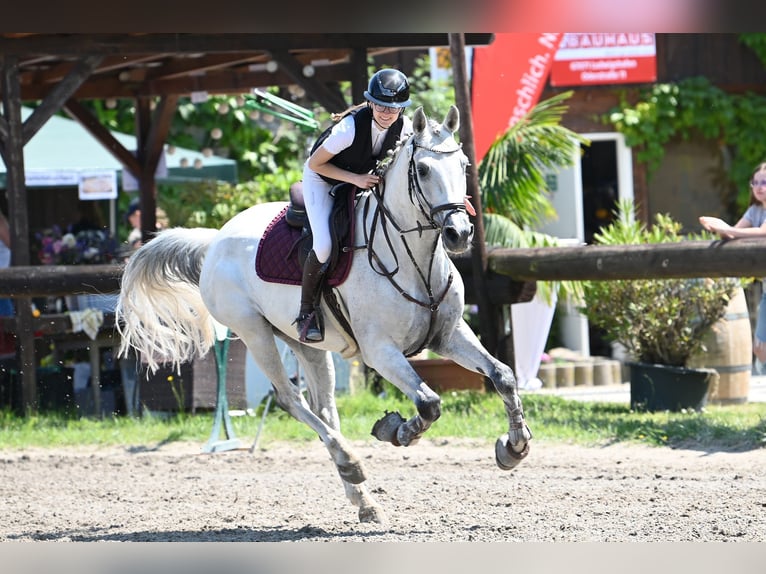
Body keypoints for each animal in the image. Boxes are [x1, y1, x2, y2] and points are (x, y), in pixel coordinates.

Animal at [116, 105, 532, 525]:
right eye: (424, 169)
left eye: (463, 165)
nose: (458, 234)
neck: (416, 260)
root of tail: (215, 238)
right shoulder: (380, 352)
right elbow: (429, 403)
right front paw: (396, 430)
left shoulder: (448, 335)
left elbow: (503, 376)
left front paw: (513, 448)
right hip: (253, 332)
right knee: (290, 399)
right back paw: (351, 463)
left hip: (303, 342)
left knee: (324, 408)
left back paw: (362, 497)